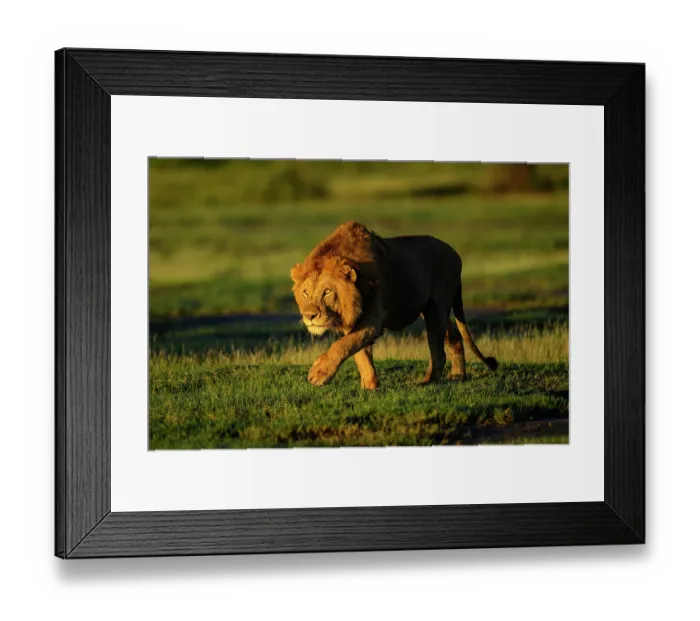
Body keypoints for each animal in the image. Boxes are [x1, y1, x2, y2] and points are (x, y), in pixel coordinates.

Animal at [290, 221, 498, 389]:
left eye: (327, 292)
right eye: (305, 292)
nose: (309, 316)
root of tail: (456, 255)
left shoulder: (373, 320)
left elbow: (343, 345)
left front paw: (319, 373)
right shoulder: (354, 321)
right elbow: (360, 353)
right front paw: (370, 386)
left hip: (436, 309)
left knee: (438, 352)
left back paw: (427, 381)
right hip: (434, 310)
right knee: (454, 336)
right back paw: (457, 375)